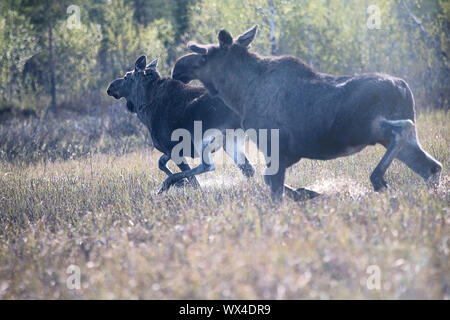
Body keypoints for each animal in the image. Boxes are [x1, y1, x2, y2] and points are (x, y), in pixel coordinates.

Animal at [104, 55, 253, 192]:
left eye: (126, 76)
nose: (110, 87)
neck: (144, 108)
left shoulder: (173, 148)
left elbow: (193, 180)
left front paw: (178, 182)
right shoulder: (169, 149)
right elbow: (160, 162)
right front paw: (181, 182)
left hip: (203, 135)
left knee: (208, 165)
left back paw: (167, 183)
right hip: (230, 140)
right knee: (249, 169)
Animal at [173, 25, 442, 200]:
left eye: (206, 55)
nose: (178, 67)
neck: (239, 95)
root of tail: (405, 88)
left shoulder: (275, 147)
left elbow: (274, 188)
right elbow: (272, 182)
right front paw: (309, 193)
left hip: (368, 128)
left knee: (403, 129)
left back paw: (378, 179)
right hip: (402, 141)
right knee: (432, 167)